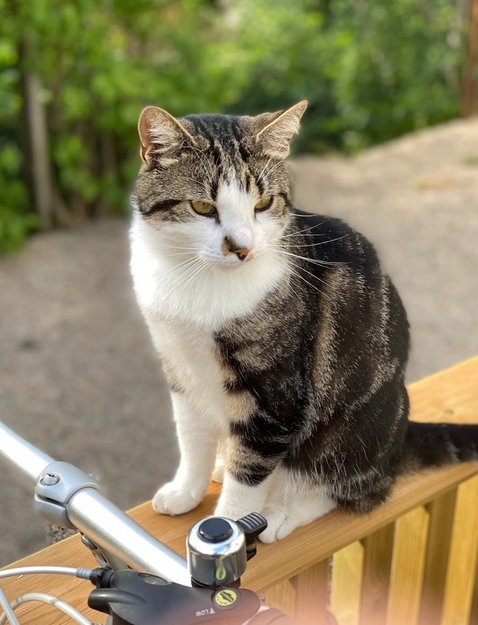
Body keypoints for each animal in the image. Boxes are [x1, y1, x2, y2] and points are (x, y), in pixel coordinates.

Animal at [129, 101, 478, 542]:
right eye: (203, 207)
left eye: (263, 203)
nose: (242, 248)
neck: (197, 281)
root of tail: (398, 442)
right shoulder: (179, 366)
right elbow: (191, 437)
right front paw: (186, 491)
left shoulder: (274, 396)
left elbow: (249, 474)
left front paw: (226, 530)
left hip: (350, 436)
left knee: (354, 489)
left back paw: (282, 513)